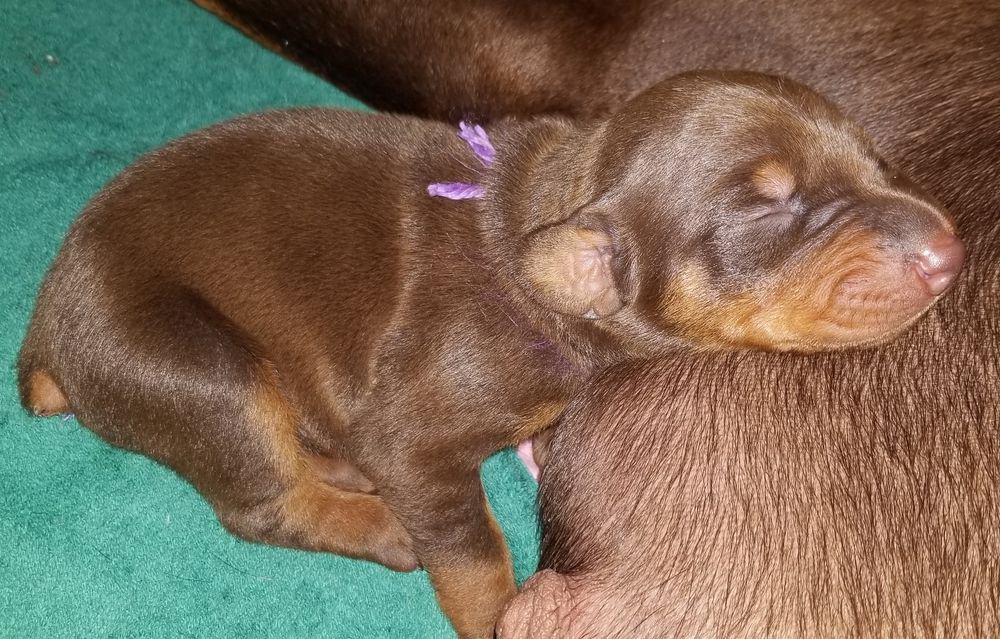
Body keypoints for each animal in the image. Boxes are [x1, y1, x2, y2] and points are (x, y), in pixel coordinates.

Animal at [17, 72, 960, 636]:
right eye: (770, 208)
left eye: (877, 163)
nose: (950, 252)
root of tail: (44, 337)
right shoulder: (416, 437)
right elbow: (473, 559)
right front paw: (496, 599)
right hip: (196, 364)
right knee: (262, 499)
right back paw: (378, 518)